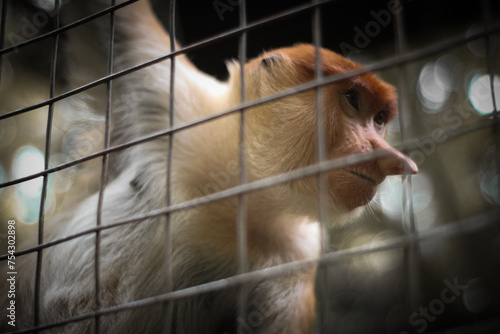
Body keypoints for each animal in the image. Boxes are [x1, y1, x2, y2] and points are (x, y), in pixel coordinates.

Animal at [0, 0, 418, 334]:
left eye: (380, 120)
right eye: (351, 100)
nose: (391, 157)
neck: (234, 187)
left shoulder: (293, 261)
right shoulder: (175, 98)